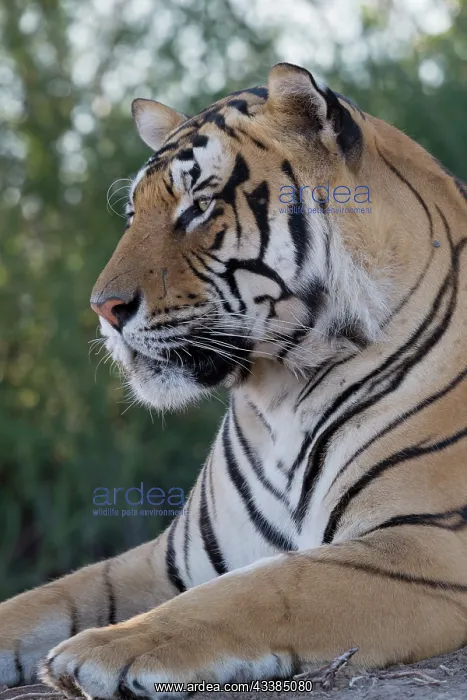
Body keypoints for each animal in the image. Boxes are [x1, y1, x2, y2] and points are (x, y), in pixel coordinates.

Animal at [1, 62, 466, 699]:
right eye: (133, 214)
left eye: (198, 206)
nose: (103, 309)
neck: (281, 393)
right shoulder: (168, 559)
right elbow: (46, 597)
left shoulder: (425, 541)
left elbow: (267, 588)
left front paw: (105, 649)